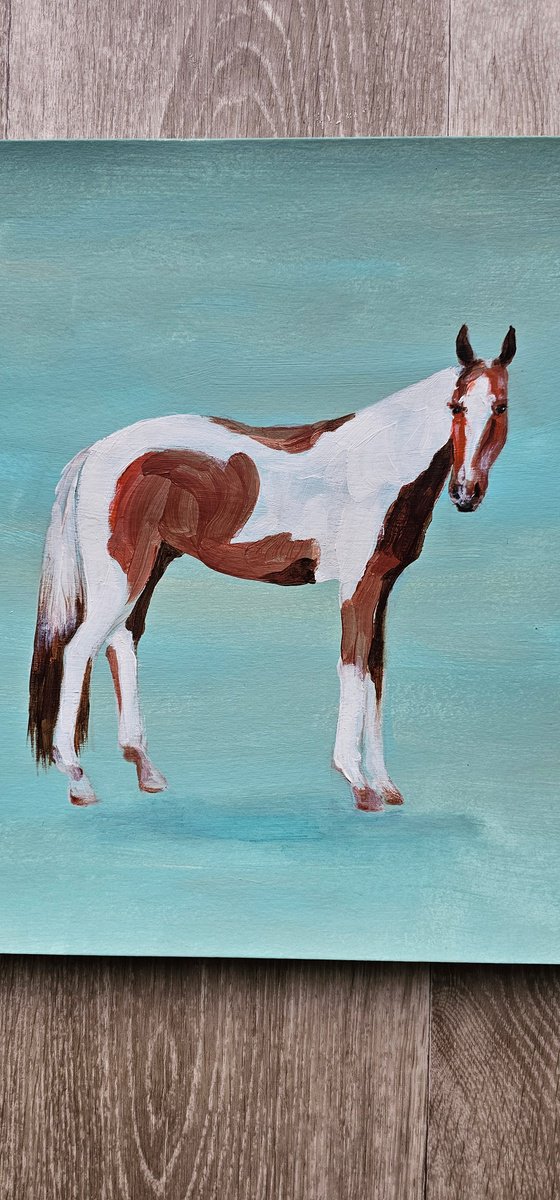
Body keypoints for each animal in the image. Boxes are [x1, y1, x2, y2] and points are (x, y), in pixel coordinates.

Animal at [29, 324, 516, 809]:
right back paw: (78, 780)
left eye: (501, 406)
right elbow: (353, 667)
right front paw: (358, 783)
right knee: (78, 651)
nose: (466, 492)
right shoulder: (357, 587)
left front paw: (385, 784)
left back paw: (147, 771)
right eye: (456, 406)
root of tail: (94, 453)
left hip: (148, 569)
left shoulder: (382, 585)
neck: (379, 462)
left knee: (121, 642)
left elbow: (375, 674)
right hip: (121, 577)